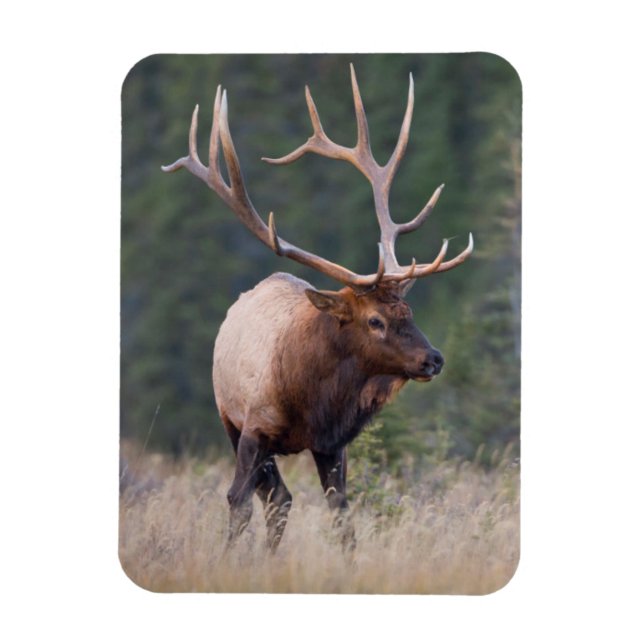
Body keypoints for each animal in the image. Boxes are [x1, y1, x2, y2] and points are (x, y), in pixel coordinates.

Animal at [162, 64, 473, 551]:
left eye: (409, 313)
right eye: (375, 319)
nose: (433, 359)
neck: (311, 398)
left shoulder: (332, 444)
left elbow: (342, 517)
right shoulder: (252, 428)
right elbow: (237, 502)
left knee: (281, 499)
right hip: (229, 418)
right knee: (272, 498)